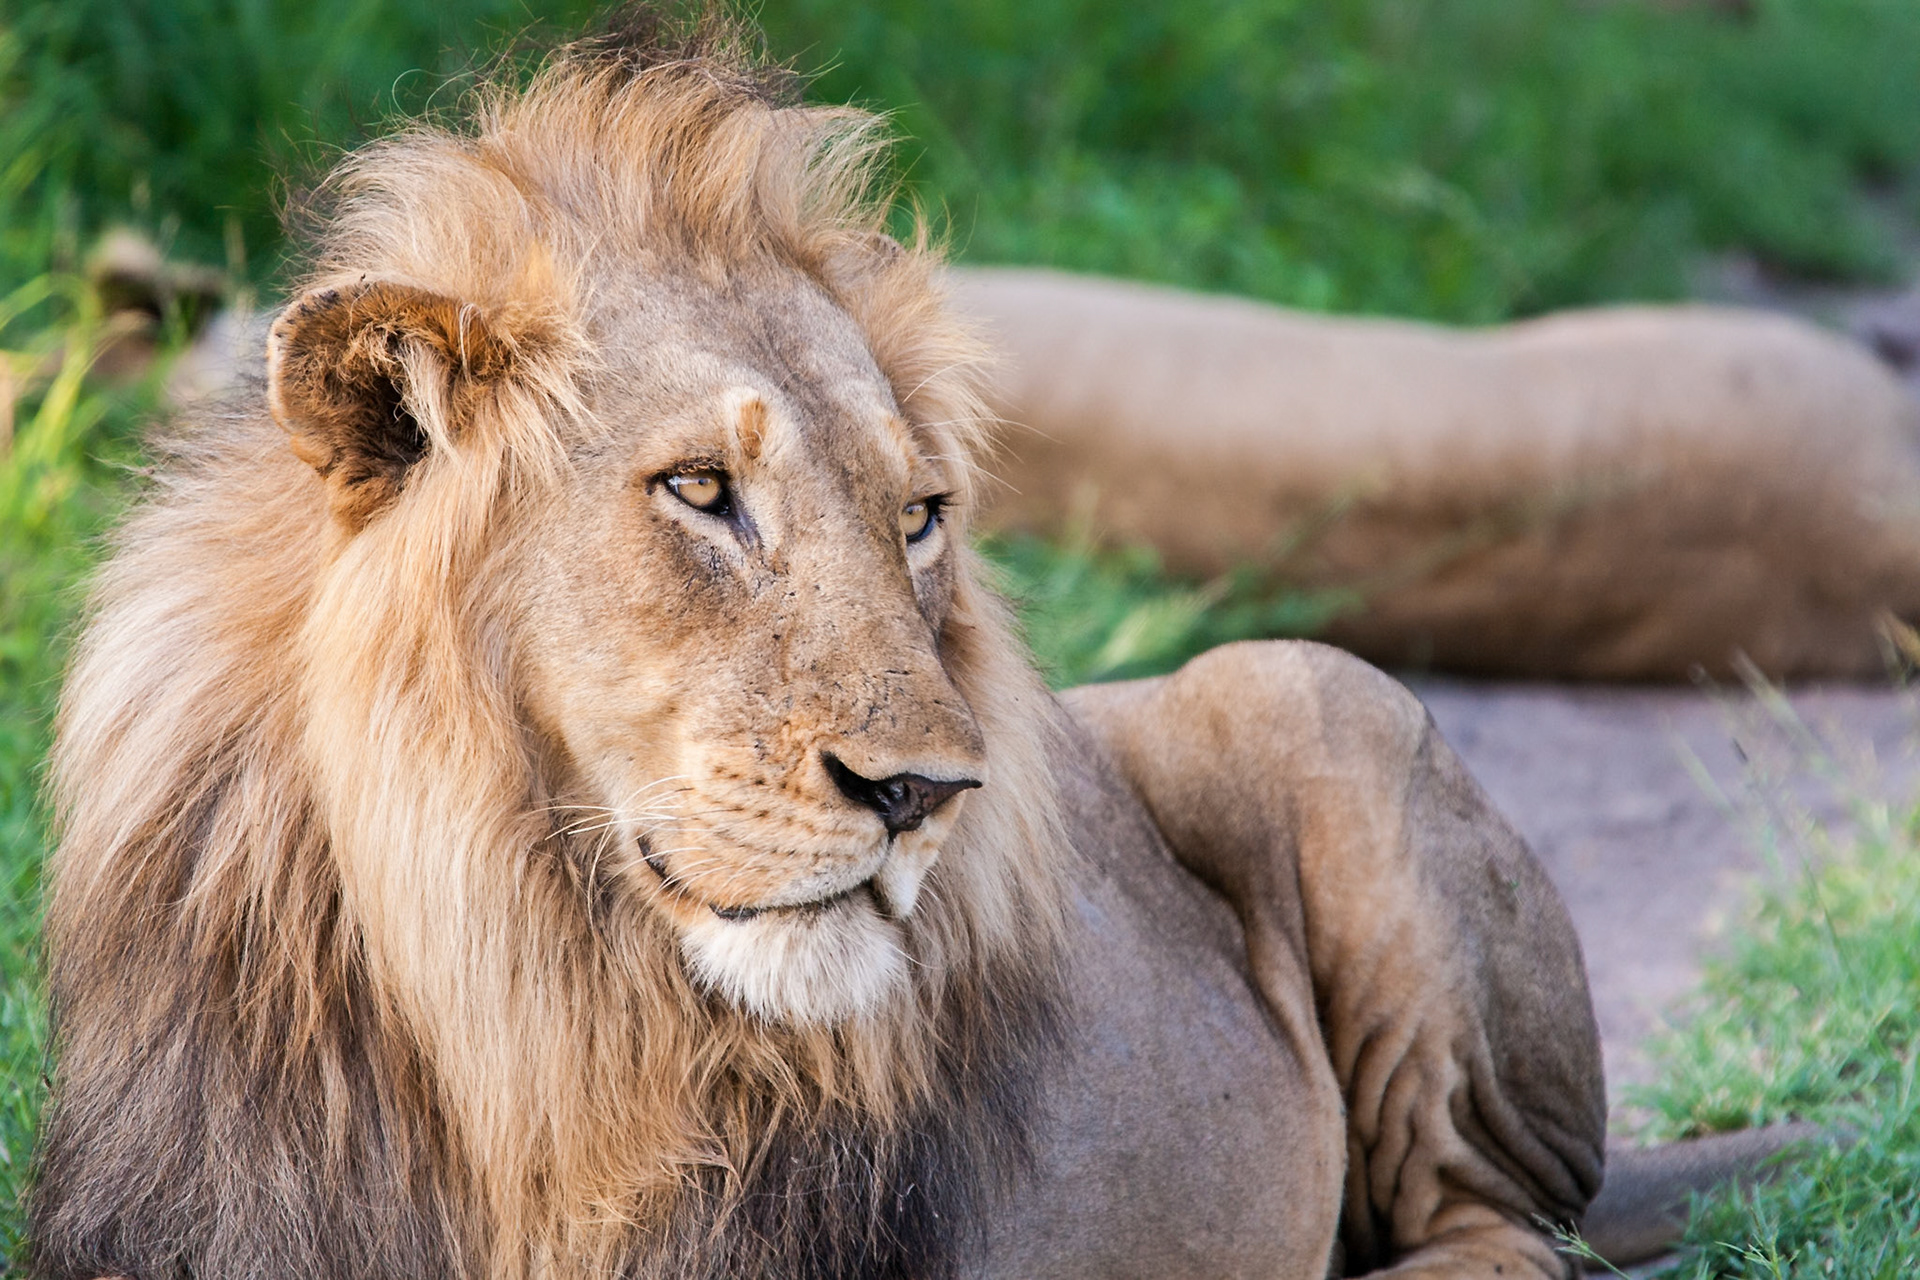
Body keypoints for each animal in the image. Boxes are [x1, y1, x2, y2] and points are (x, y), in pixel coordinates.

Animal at [28, 16, 1763, 1279]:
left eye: (918, 515)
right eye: (702, 492)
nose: (925, 794)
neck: (519, 1017)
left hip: (1320, 697)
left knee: (1504, 1231)